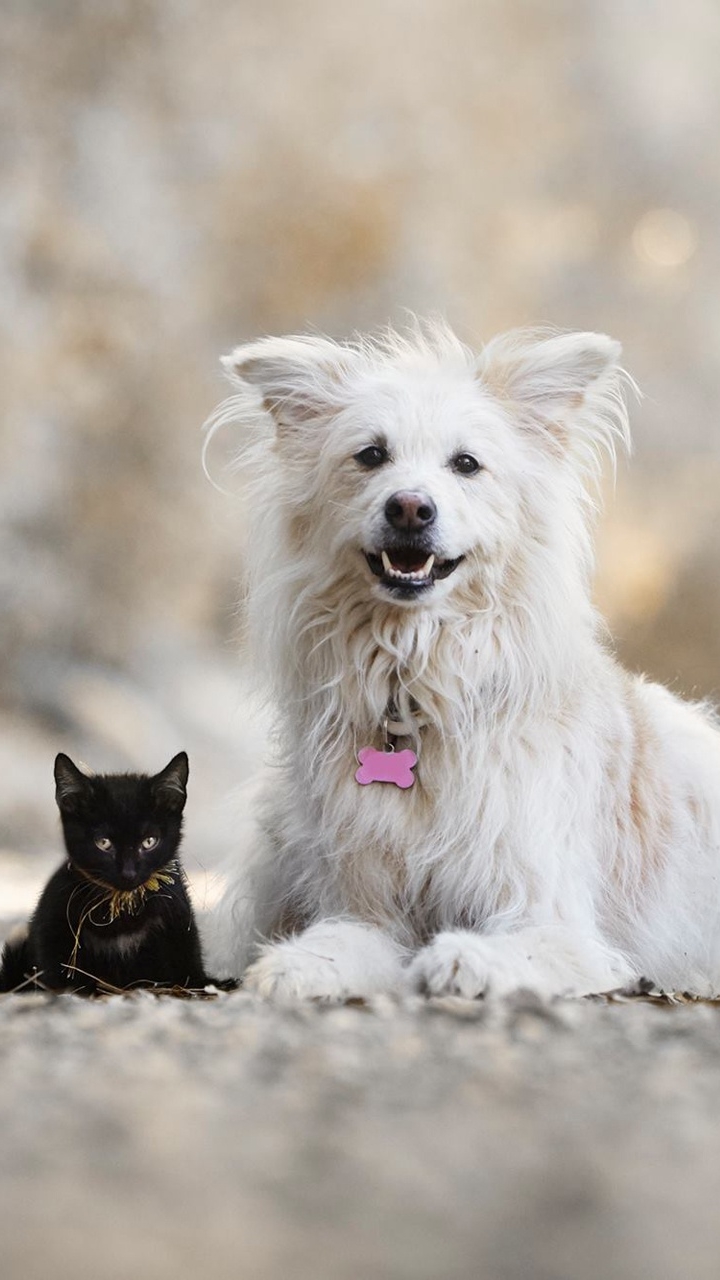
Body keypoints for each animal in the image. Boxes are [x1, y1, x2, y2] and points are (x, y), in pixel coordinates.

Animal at [0, 752, 211, 993]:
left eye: (149, 842)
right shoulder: (52, 922)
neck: (123, 911)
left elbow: (189, 964)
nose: (128, 873)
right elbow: (56, 971)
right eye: (104, 843)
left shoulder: (178, 919)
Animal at [203, 320, 720, 998]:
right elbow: (338, 941)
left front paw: (464, 960)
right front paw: (297, 966)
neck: (414, 683)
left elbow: (517, 949)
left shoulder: (557, 921)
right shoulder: (366, 906)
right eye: (371, 455)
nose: (410, 507)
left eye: (466, 464)